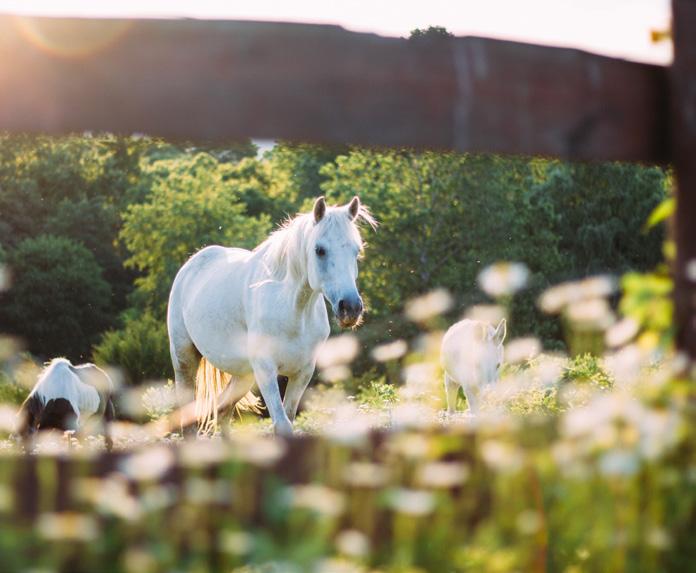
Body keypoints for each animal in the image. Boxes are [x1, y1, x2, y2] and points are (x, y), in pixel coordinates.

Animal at [167, 197, 376, 434]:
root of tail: (191, 265)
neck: (292, 311)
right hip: (184, 359)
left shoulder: (303, 372)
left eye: (356, 251)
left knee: (223, 411)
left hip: (244, 375)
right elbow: (282, 424)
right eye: (320, 250)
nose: (350, 307)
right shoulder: (266, 369)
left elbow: (289, 418)